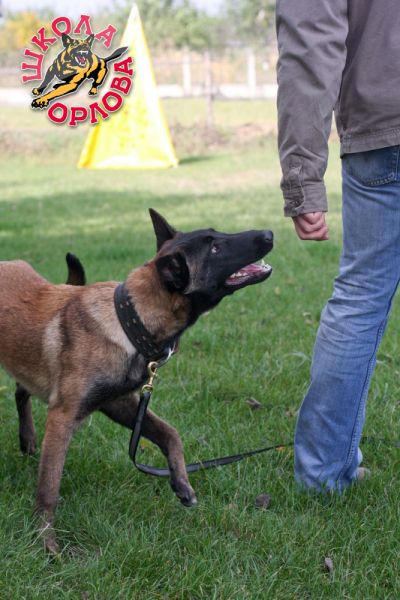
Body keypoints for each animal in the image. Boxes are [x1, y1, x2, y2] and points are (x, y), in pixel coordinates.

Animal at [0, 210, 273, 553]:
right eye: (214, 248)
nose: (269, 233)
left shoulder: (120, 403)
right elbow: (49, 488)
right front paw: (46, 543)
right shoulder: (63, 417)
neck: (128, 320)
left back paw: (27, 438)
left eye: (217, 234)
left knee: (21, 390)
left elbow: (170, 433)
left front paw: (181, 482)